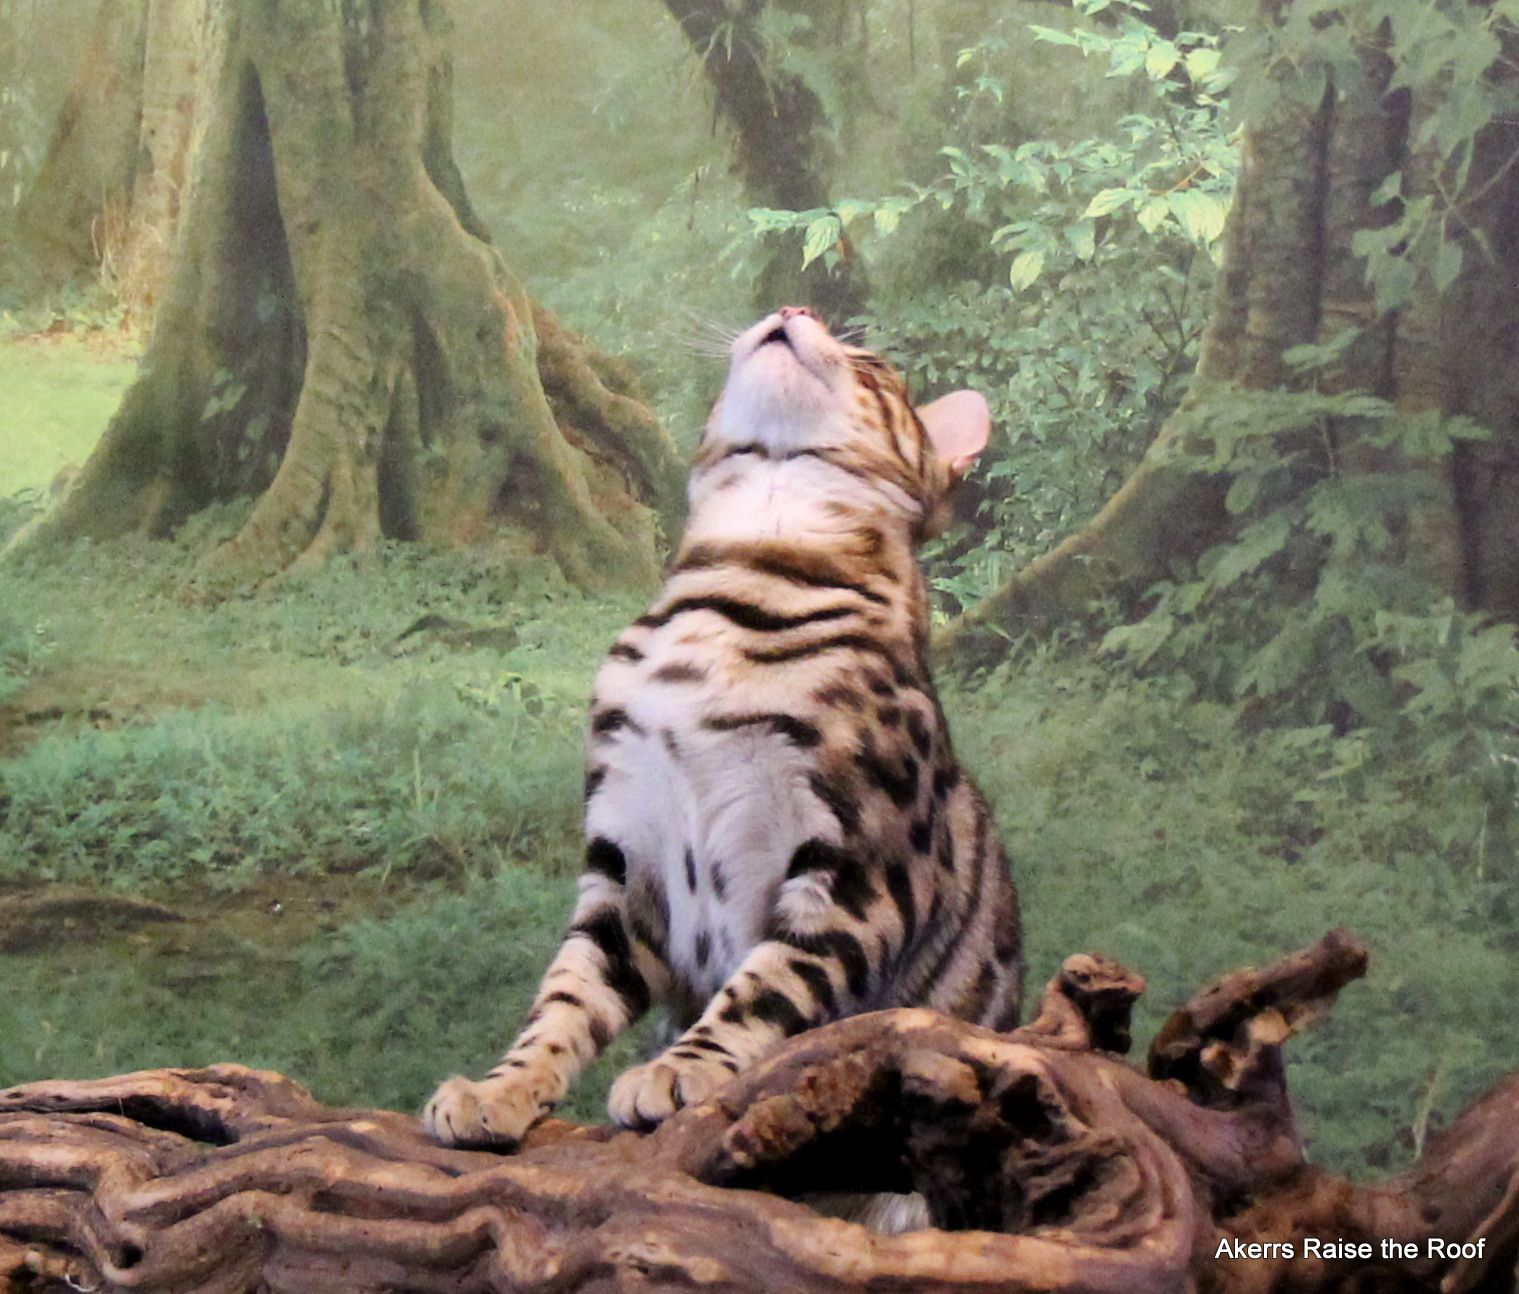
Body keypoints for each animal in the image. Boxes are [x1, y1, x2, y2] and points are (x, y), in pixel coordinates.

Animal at [424, 305, 1023, 1152]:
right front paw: (500, 1086)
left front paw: (685, 1068)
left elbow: (764, 987)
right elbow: (565, 997)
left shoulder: (859, 874)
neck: (738, 588)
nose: (794, 309)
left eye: (871, 366)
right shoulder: (621, 861)